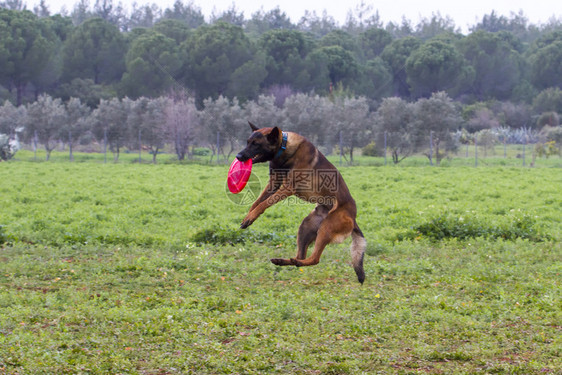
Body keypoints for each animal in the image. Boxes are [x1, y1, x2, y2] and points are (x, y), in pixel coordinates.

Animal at [234, 122, 366, 284]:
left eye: (256, 144)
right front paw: (248, 217)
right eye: (247, 142)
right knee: (301, 255)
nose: (238, 156)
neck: (284, 148)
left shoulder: (287, 188)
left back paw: (297, 262)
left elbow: (263, 204)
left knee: (314, 259)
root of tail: (353, 218)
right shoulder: (273, 184)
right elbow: (257, 203)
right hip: (306, 227)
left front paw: (250, 217)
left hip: (326, 228)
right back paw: (283, 261)